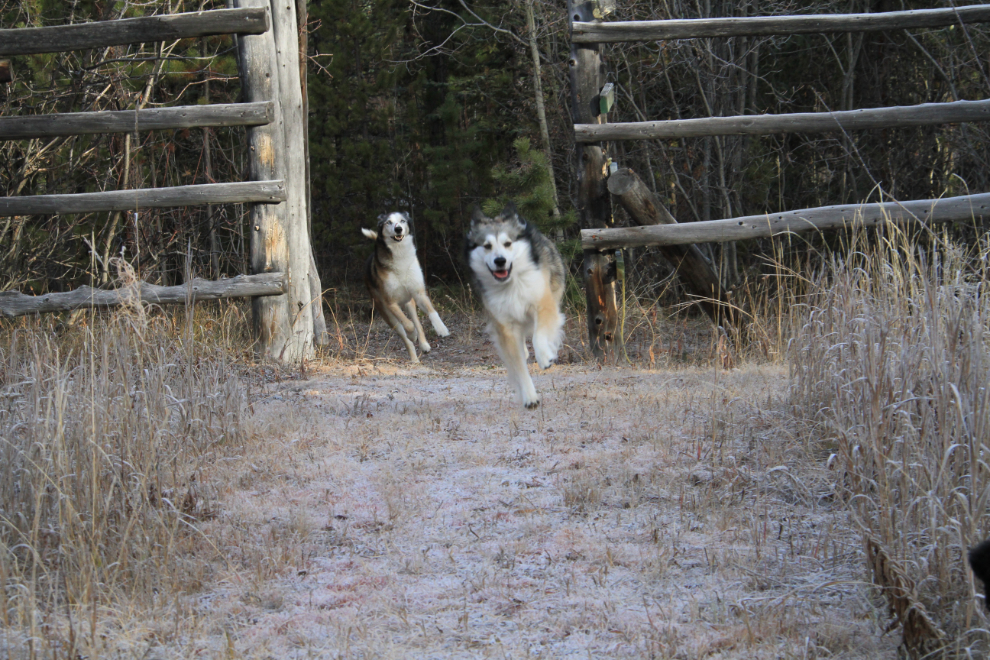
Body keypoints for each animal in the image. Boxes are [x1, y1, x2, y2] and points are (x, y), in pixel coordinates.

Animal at [466, 204, 564, 408]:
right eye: (487, 246)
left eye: (508, 243)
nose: (500, 261)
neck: (510, 283)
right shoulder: (505, 327)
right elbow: (518, 365)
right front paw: (529, 396)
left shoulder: (543, 303)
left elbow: (538, 335)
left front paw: (545, 357)